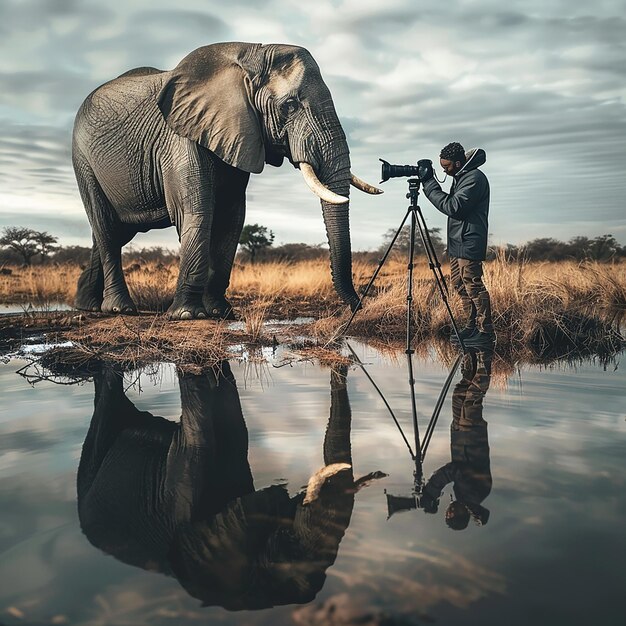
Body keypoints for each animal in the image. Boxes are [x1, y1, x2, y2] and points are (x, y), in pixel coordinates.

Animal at [70, 40, 378, 316]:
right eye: (290, 106)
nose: (357, 307)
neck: (250, 55)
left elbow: (232, 218)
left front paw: (221, 312)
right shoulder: (180, 137)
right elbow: (197, 212)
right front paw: (187, 314)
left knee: (112, 232)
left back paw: (86, 305)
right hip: (83, 159)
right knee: (107, 228)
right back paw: (118, 309)